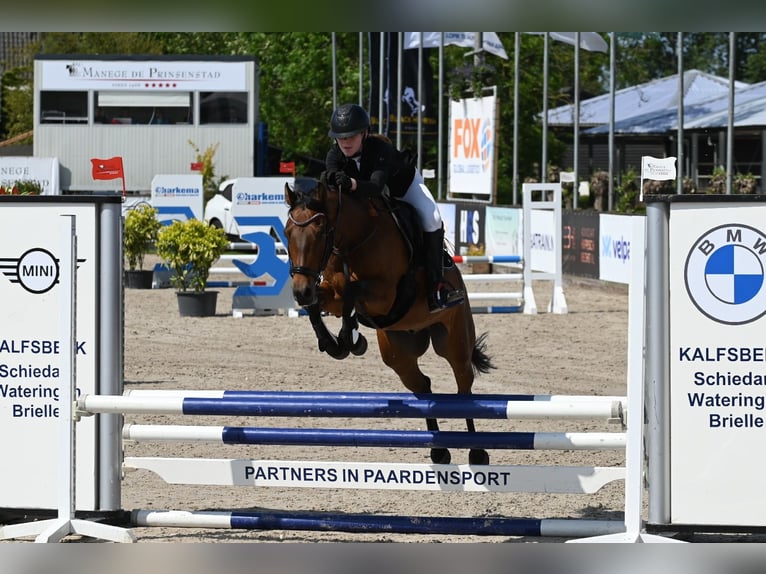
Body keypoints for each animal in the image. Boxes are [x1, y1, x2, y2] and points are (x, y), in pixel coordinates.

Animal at [284, 176, 496, 468]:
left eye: (320, 231)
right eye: (286, 232)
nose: (300, 291)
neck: (356, 238)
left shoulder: (384, 295)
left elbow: (351, 291)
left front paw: (350, 338)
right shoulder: (330, 294)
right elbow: (322, 303)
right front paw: (337, 343)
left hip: (455, 342)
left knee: (463, 386)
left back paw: (477, 451)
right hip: (399, 354)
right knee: (423, 386)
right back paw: (439, 451)